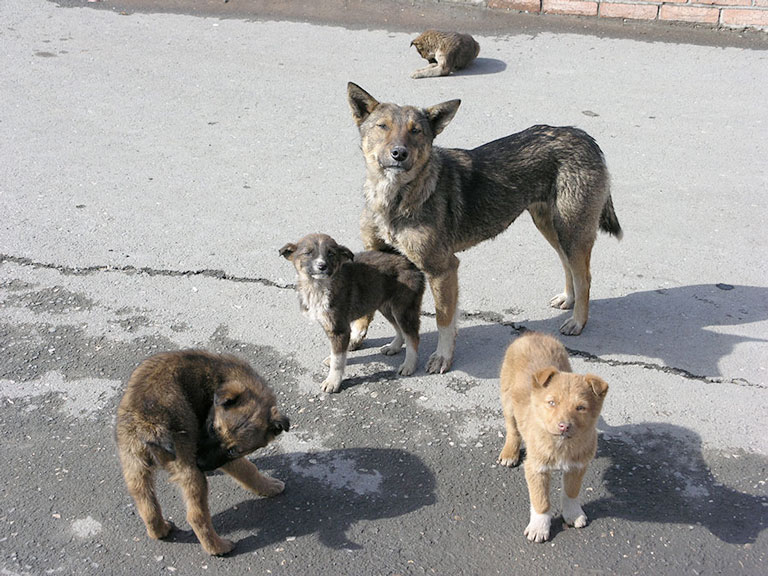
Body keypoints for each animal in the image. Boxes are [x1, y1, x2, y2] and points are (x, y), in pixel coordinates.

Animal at [115, 348, 290, 556]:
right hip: (188, 471)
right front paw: (270, 486)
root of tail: (149, 424)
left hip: (133, 462)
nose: (201, 464)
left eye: (233, 450)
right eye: (213, 429)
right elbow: (249, 470)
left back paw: (160, 530)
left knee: (146, 503)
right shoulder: (223, 458)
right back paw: (219, 547)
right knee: (196, 516)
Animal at [280, 232, 426, 394]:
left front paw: (332, 382)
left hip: (403, 308)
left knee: (412, 336)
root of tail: (408, 261)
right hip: (385, 305)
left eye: (331, 254)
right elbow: (336, 353)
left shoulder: (340, 329)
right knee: (400, 330)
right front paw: (332, 363)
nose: (322, 266)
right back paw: (393, 347)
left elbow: (338, 360)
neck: (318, 286)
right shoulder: (329, 325)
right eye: (307, 253)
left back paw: (409, 365)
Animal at [348, 83, 624, 376]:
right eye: (382, 126)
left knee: (584, 277)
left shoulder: (442, 269)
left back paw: (578, 321)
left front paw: (443, 356)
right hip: (551, 226)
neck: (394, 198)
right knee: (567, 264)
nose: (399, 153)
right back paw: (568, 299)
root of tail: (583, 136)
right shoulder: (376, 252)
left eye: (416, 131)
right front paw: (358, 335)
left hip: (572, 230)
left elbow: (444, 319)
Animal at [498, 330, 612, 544]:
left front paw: (573, 514)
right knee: (512, 429)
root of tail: (533, 334)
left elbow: (571, 493)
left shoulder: (578, 466)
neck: (561, 445)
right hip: (507, 399)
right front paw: (539, 528)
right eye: (552, 402)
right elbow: (541, 501)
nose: (564, 426)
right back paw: (509, 453)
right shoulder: (536, 468)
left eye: (581, 407)